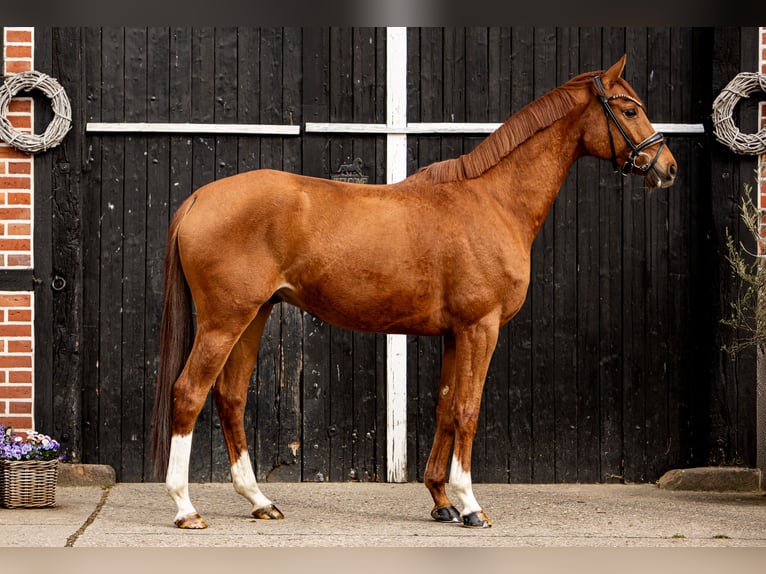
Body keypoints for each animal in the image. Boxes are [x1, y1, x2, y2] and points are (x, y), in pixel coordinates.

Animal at [150, 54, 676, 529]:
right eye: (630, 110)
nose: (667, 167)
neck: (493, 200)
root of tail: (200, 197)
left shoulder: (454, 334)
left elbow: (445, 407)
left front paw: (441, 500)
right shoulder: (480, 328)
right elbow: (468, 409)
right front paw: (470, 504)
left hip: (254, 316)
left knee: (230, 396)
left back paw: (260, 501)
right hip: (225, 320)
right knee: (190, 392)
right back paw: (185, 509)